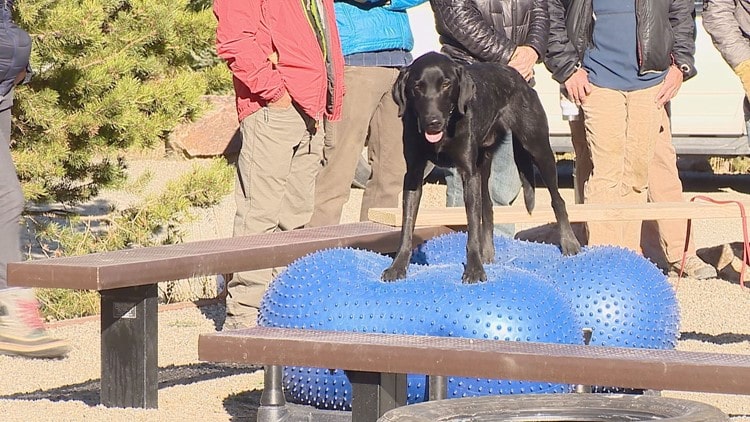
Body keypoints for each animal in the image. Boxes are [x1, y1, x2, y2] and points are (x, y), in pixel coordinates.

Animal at [382, 52, 580, 284]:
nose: (433, 122)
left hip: (538, 148)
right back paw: (488, 252)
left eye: (446, 84)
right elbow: (407, 226)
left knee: (558, 200)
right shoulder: (413, 175)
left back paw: (569, 243)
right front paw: (397, 266)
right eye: (417, 86)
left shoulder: (469, 174)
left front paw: (474, 269)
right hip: (483, 166)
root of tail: (518, 77)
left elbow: (472, 228)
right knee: (488, 207)